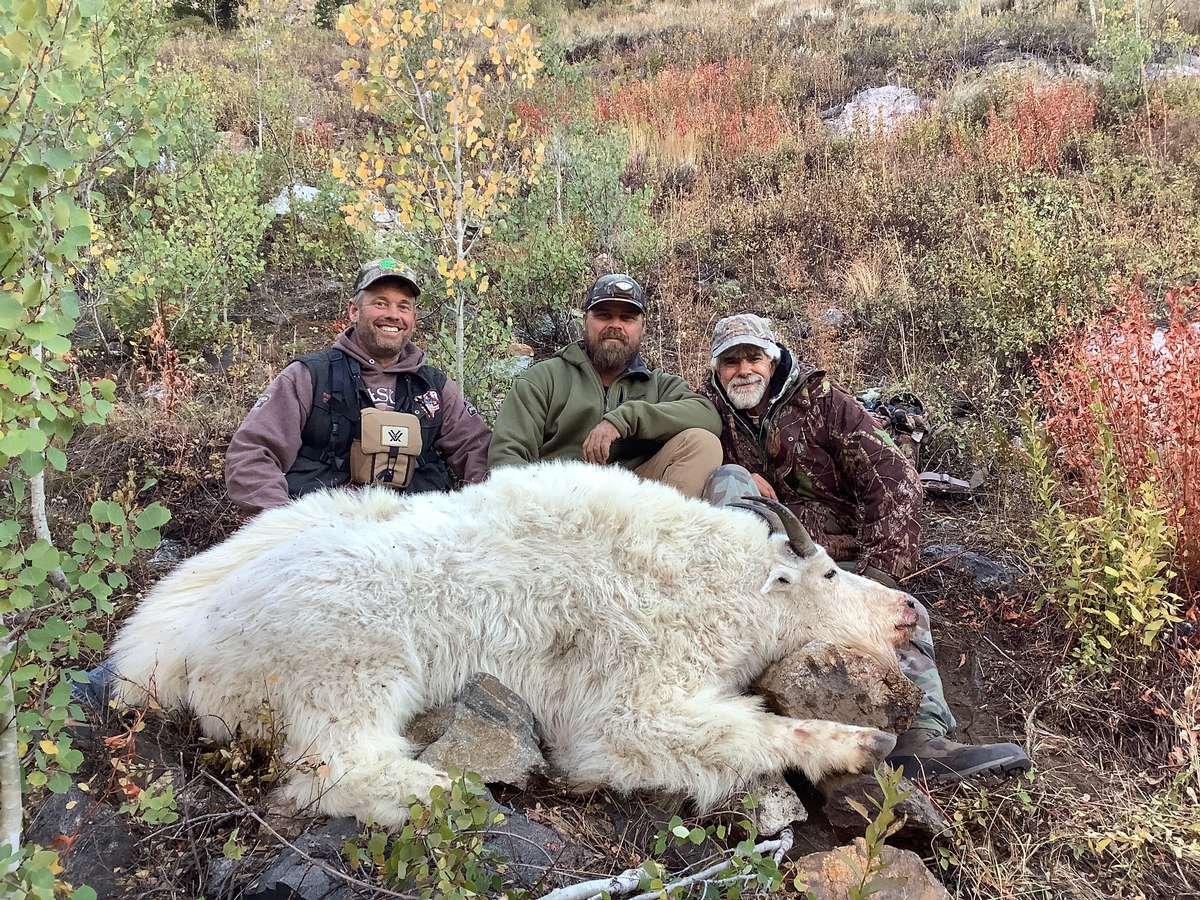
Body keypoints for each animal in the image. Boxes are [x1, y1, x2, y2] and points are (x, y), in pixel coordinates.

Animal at [112, 460, 916, 830]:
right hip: (351, 665)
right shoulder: (625, 706)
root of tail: (179, 655)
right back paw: (451, 791)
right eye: (829, 571)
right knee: (336, 770)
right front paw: (861, 742)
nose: (908, 610)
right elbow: (739, 730)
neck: (713, 581)